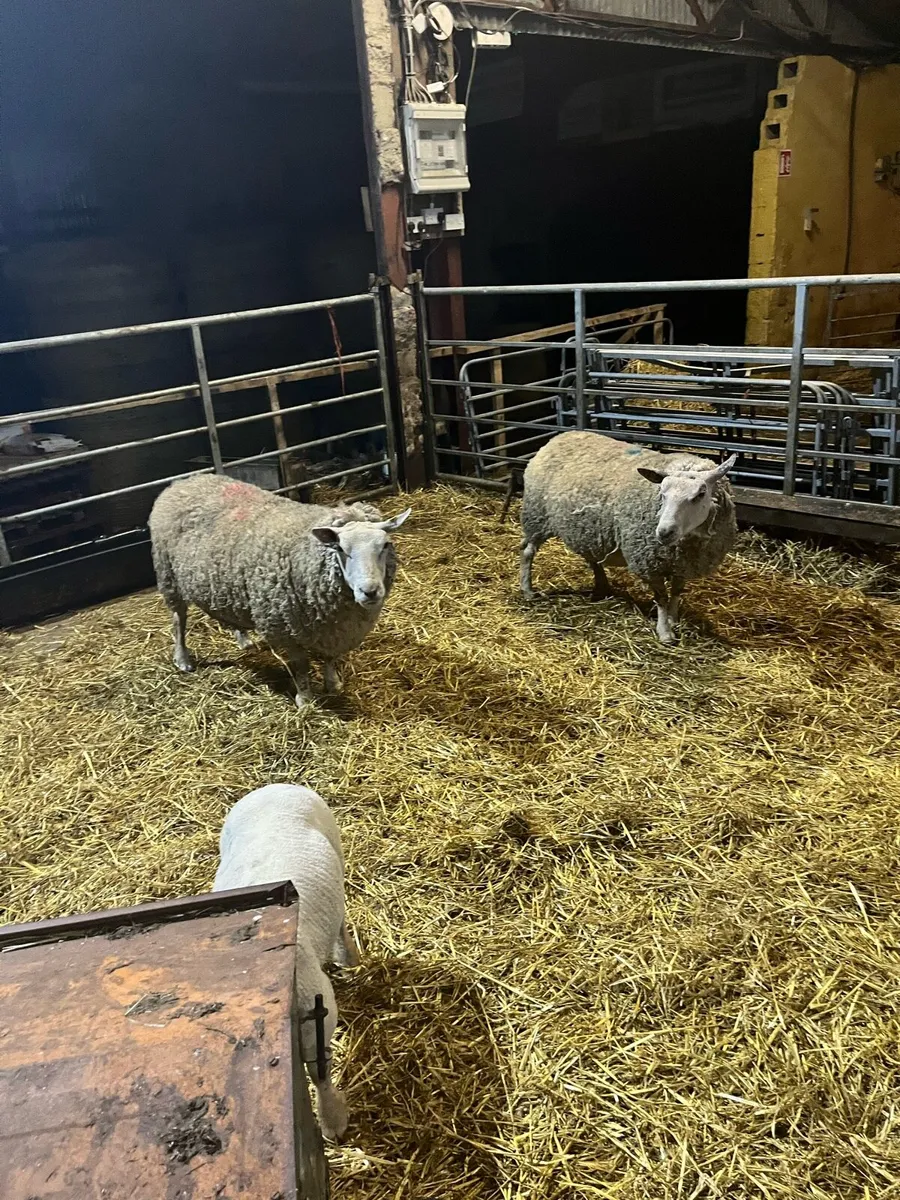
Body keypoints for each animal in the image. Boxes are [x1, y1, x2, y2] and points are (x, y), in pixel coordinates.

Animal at [148, 474, 411, 704]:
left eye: (385, 545)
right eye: (340, 548)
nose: (370, 591)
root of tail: (186, 480)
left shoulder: (332, 629)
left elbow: (329, 657)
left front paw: (333, 684)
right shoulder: (283, 625)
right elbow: (300, 666)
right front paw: (305, 700)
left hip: (222, 586)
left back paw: (243, 640)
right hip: (168, 575)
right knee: (178, 619)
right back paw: (183, 659)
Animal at [213, 783, 358, 1140]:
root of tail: (273, 787)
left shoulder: (317, 1011)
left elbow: (319, 1072)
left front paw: (332, 1121)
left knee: (341, 918)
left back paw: (347, 955)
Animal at [518, 431, 738, 643]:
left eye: (700, 494)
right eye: (662, 493)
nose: (664, 532)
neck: (686, 543)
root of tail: (557, 438)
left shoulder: (683, 564)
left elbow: (676, 592)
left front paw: (673, 619)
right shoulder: (648, 563)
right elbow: (661, 598)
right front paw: (664, 632)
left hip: (586, 529)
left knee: (592, 557)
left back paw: (602, 587)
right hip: (536, 516)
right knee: (527, 551)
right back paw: (527, 590)